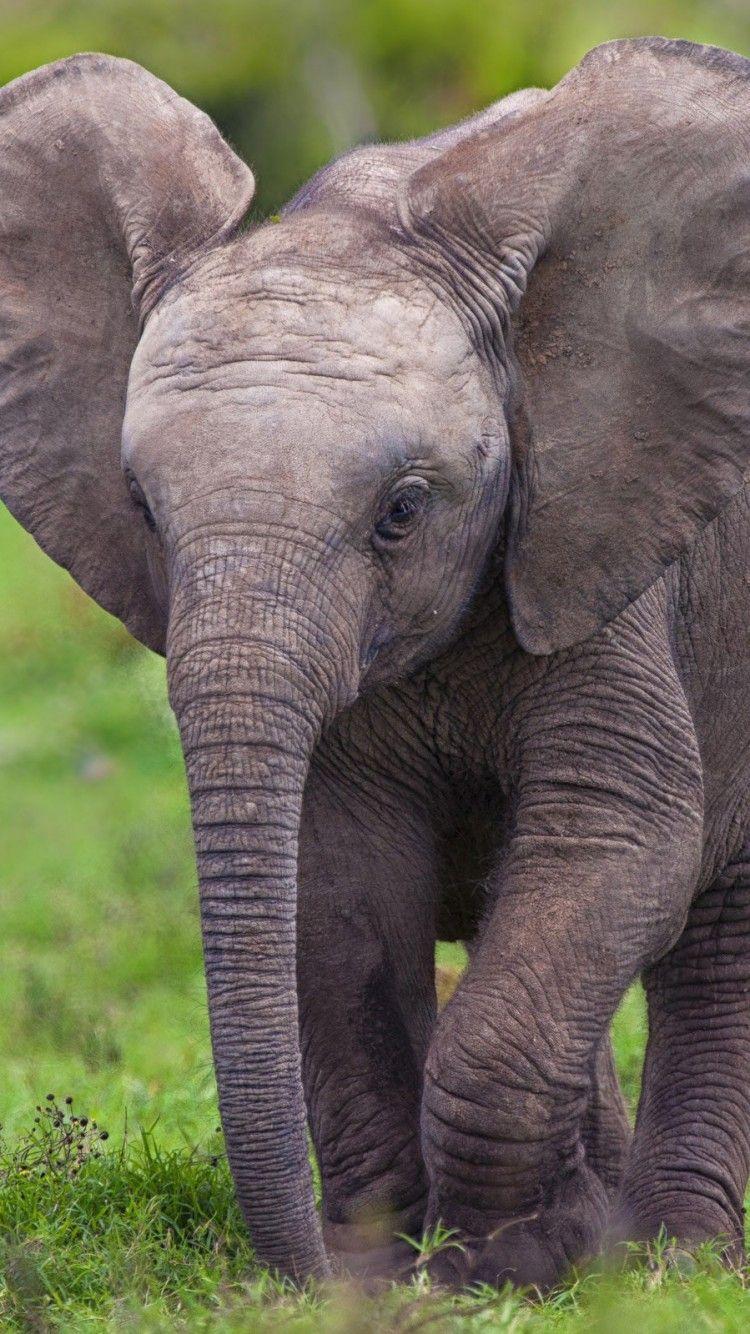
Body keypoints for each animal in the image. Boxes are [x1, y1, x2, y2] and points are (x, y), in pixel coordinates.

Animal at [2, 34, 750, 1291]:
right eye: (146, 510)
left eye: (402, 511)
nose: (307, 1273)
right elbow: (341, 886)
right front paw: (403, 1262)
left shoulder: (606, 551)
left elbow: (620, 835)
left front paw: (508, 1260)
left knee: (716, 936)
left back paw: (676, 1260)